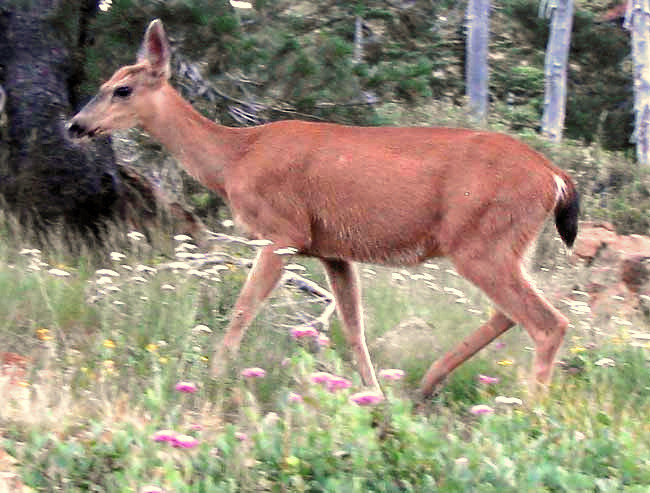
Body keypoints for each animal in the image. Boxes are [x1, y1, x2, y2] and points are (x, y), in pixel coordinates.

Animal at [68, 19, 580, 396]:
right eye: (104, 82)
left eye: (122, 90)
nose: (75, 125)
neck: (235, 159)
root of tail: (555, 177)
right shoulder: (333, 250)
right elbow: (353, 328)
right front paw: (373, 395)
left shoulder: (284, 230)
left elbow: (243, 308)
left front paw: (210, 378)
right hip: (501, 243)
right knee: (511, 314)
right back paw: (429, 383)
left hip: (482, 240)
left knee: (548, 323)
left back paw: (528, 411)